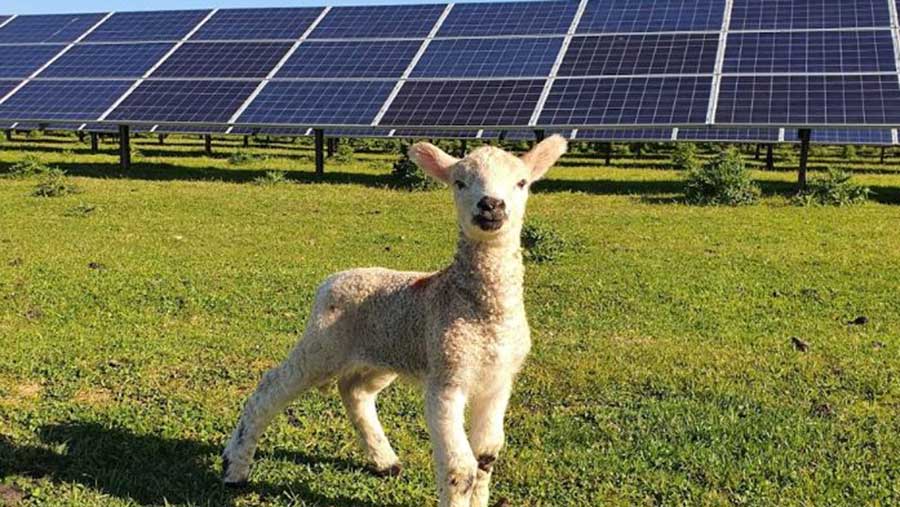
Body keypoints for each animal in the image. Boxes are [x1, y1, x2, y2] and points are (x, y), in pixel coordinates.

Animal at [221, 135, 568, 507]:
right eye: (459, 182)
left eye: (522, 183)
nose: (491, 204)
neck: (484, 314)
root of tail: (331, 280)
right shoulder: (446, 377)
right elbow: (461, 469)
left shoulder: (499, 379)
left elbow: (487, 456)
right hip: (324, 342)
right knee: (270, 388)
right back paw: (235, 469)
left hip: (381, 353)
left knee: (354, 391)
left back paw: (385, 461)